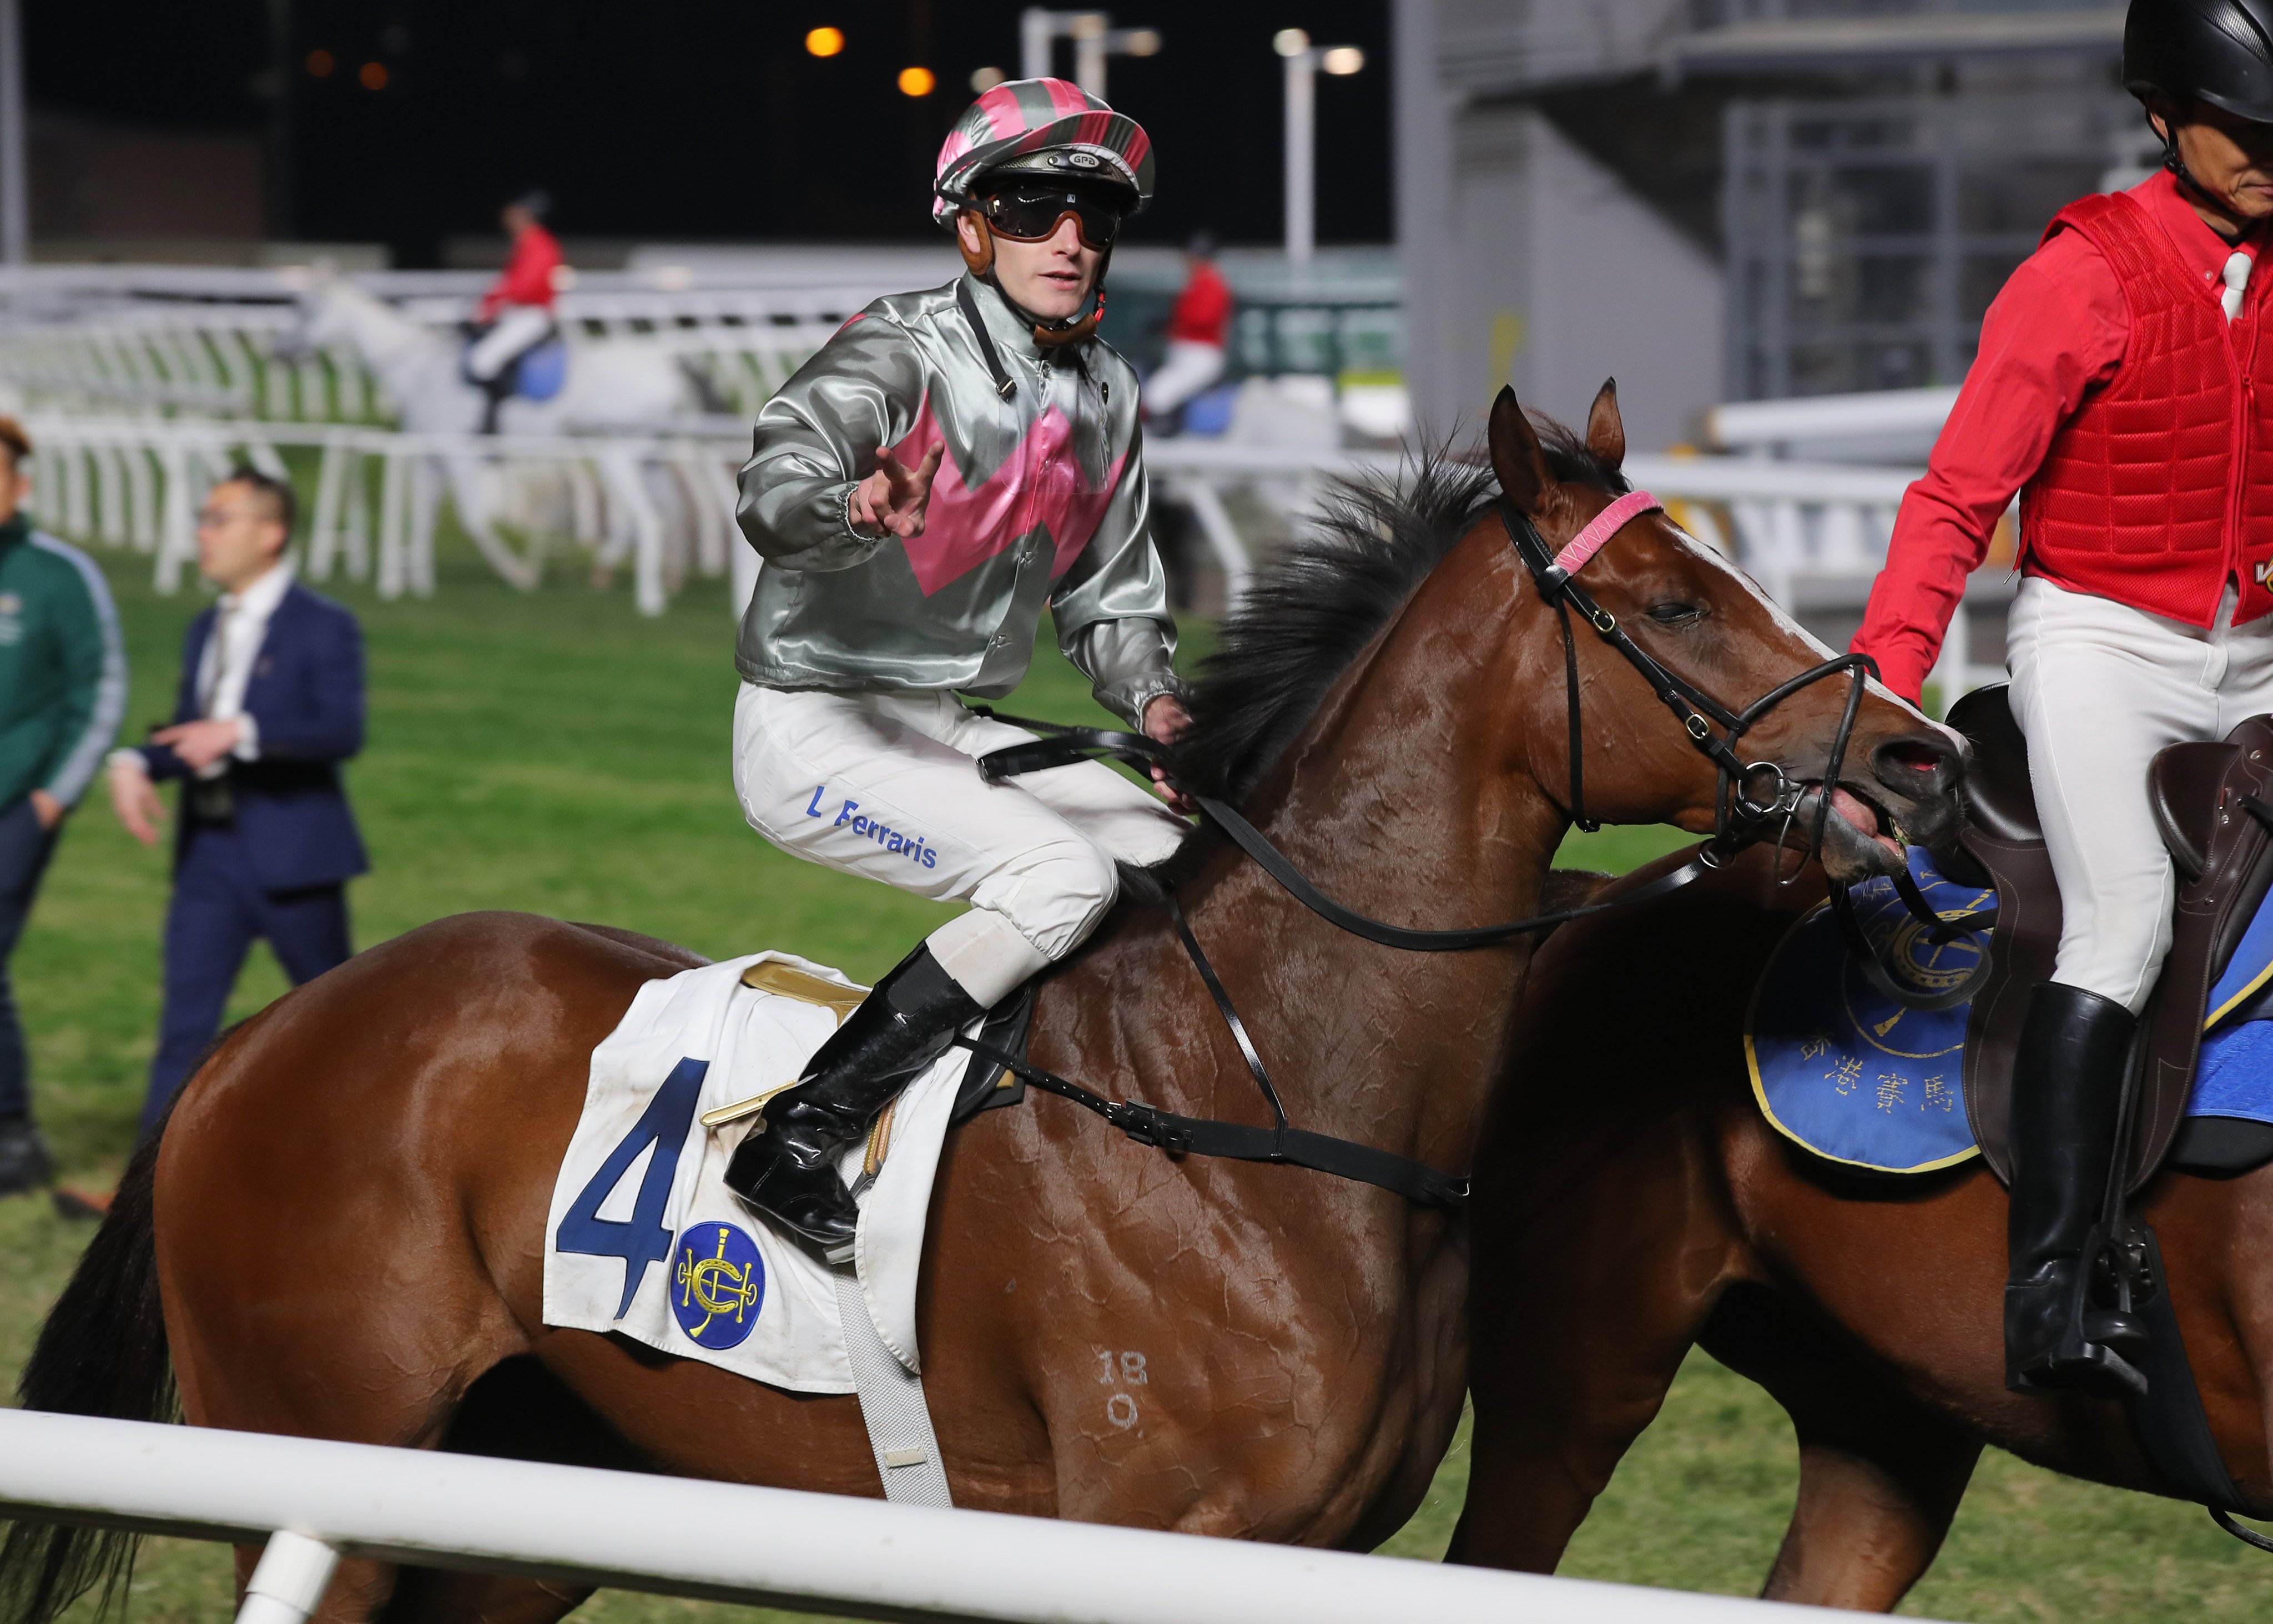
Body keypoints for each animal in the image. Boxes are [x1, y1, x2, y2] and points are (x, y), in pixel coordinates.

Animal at [0, 384, 1954, 1624]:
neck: (1271, 1103)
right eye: (1667, 599)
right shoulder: (1145, 1534)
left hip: (517, 1506)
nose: (1919, 757)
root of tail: (260, 1039)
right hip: (323, 1462)